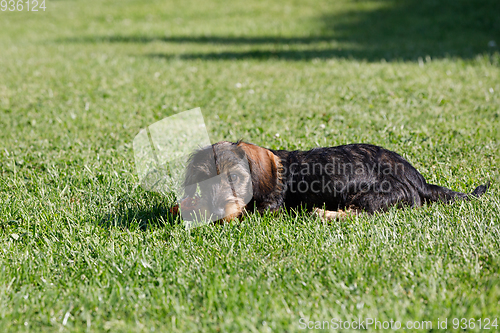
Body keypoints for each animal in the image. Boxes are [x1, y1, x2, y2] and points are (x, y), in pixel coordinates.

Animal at [178, 139, 490, 220]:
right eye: (203, 182)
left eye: (235, 177)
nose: (217, 211)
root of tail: (418, 179)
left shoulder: (266, 210)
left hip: (372, 195)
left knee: (360, 214)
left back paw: (323, 213)